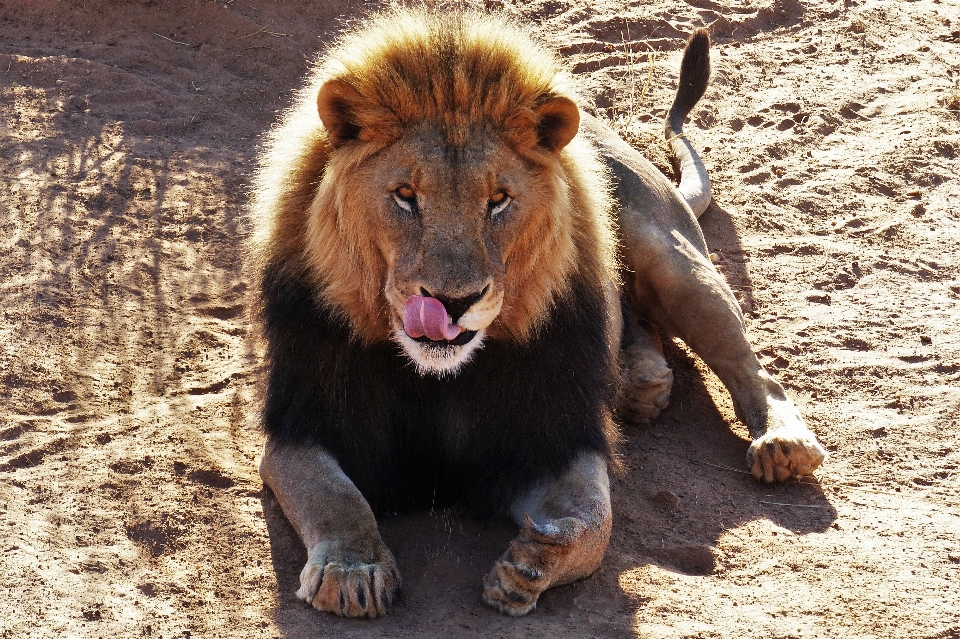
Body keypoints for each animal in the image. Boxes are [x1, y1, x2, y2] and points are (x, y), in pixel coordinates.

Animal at [248, 7, 824, 620]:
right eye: (405, 195)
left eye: (498, 200)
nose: (452, 302)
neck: (435, 378)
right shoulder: (300, 428)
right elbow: (334, 496)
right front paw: (351, 570)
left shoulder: (555, 437)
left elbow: (594, 521)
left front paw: (533, 562)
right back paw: (640, 383)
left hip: (674, 262)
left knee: (752, 369)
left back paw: (780, 443)